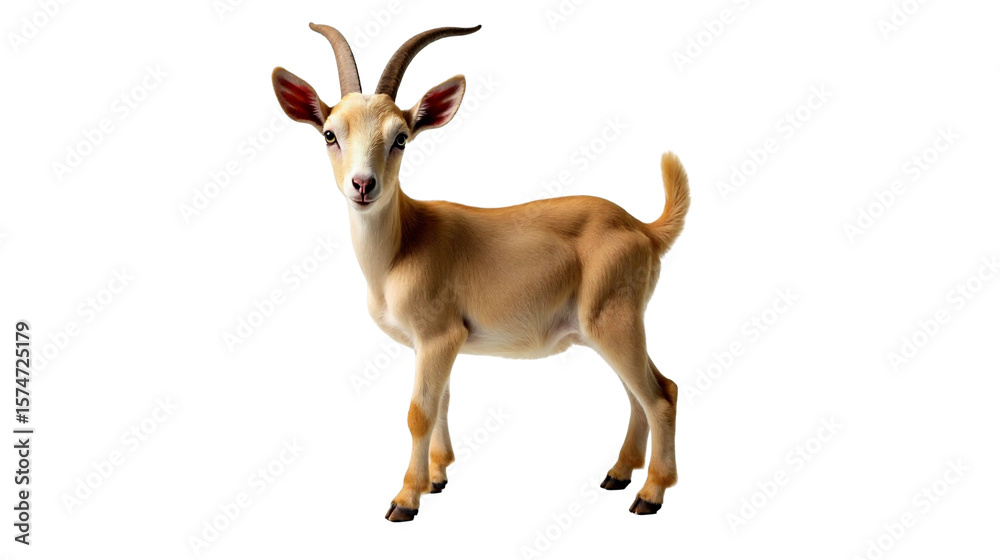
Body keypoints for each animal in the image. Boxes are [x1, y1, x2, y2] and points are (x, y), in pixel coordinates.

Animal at [272, 23, 690, 522]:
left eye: (401, 137)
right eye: (330, 134)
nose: (363, 185)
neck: (404, 242)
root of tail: (644, 228)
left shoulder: (438, 334)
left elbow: (419, 411)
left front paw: (405, 500)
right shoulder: (436, 343)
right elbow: (443, 402)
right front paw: (436, 478)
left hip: (615, 320)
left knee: (660, 394)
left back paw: (650, 495)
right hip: (607, 326)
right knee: (641, 393)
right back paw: (619, 474)